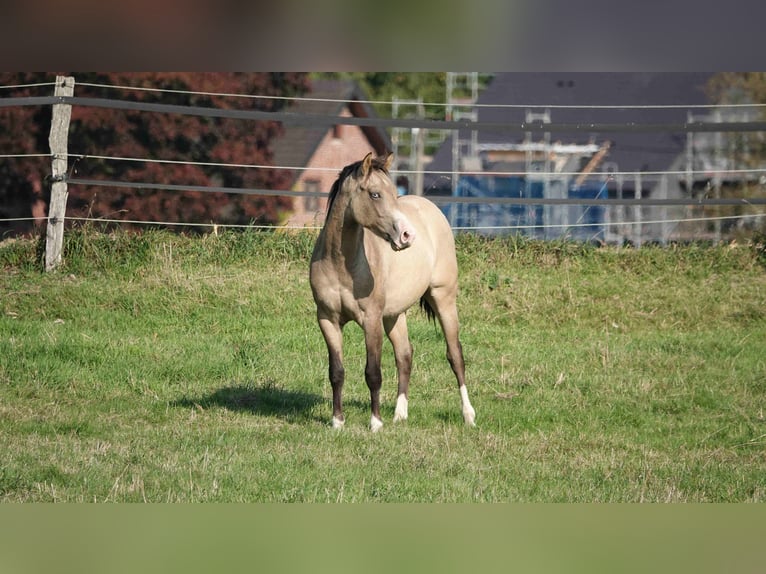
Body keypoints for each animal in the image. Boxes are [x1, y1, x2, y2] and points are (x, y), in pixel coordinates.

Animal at [309, 152, 476, 431]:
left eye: (394, 194)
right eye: (375, 194)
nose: (407, 236)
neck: (341, 264)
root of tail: (431, 209)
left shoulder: (371, 320)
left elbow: (373, 373)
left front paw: (376, 423)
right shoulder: (327, 320)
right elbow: (337, 372)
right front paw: (337, 421)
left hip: (443, 299)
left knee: (455, 355)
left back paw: (468, 415)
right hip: (394, 315)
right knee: (405, 355)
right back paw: (400, 414)